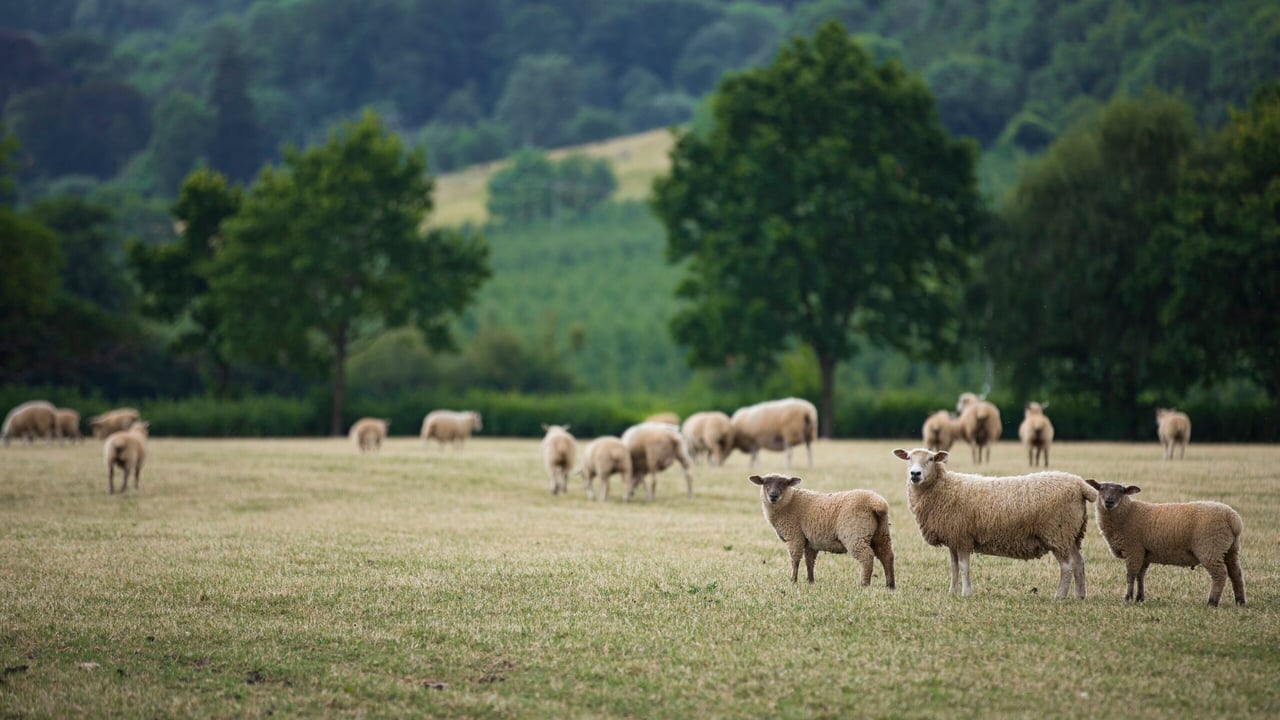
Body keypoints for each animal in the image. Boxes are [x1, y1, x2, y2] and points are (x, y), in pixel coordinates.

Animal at [749, 473, 895, 588]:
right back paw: (890, 585)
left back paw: (865, 584)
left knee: (867, 557)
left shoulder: (794, 537)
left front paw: (793, 581)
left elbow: (795, 560)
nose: (773, 496)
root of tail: (877, 503)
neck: (789, 503)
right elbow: (809, 562)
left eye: (784, 484)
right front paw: (810, 581)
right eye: (765, 483)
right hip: (881, 533)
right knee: (887, 556)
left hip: (855, 534)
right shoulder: (810, 541)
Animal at [892, 447, 1097, 599]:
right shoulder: (953, 537)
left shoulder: (963, 537)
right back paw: (1080, 596)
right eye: (908, 458)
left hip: (1057, 532)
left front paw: (966, 593)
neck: (944, 488)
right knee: (1079, 563)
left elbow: (964, 566)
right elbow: (954, 567)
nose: (915, 474)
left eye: (931, 459)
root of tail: (1080, 485)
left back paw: (1059, 596)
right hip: (1071, 533)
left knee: (1067, 566)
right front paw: (952, 592)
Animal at [1085, 480, 1245, 606]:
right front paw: (1139, 598)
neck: (1128, 514)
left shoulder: (1133, 550)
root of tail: (1233, 519)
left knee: (1220, 575)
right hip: (1230, 549)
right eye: (1101, 488)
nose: (1109, 502)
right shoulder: (1144, 553)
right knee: (1236, 573)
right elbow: (1140, 576)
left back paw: (1212, 602)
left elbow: (1130, 576)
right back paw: (1240, 601)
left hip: (1210, 548)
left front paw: (1127, 598)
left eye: (1121, 491)